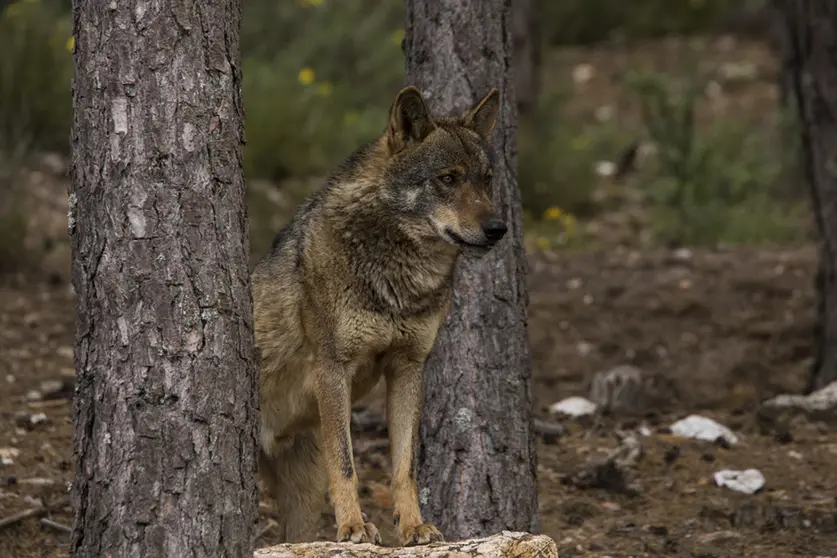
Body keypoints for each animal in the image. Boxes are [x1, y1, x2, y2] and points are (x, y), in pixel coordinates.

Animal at [251, 85, 507, 546]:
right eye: (448, 178)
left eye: (486, 180)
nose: (498, 229)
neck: (399, 280)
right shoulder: (333, 369)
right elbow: (347, 465)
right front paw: (353, 526)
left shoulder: (408, 368)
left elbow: (405, 468)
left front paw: (414, 526)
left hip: (301, 499)